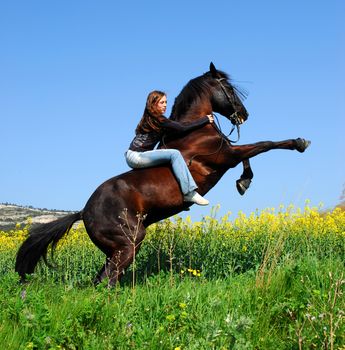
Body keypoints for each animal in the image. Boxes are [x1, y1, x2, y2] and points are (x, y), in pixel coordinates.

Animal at [14, 63, 310, 284]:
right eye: (228, 88)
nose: (244, 114)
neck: (193, 131)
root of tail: (83, 212)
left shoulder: (228, 155)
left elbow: (251, 155)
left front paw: (243, 182)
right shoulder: (225, 156)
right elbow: (263, 145)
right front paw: (299, 143)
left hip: (116, 250)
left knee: (101, 280)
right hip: (129, 243)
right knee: (109, 280)